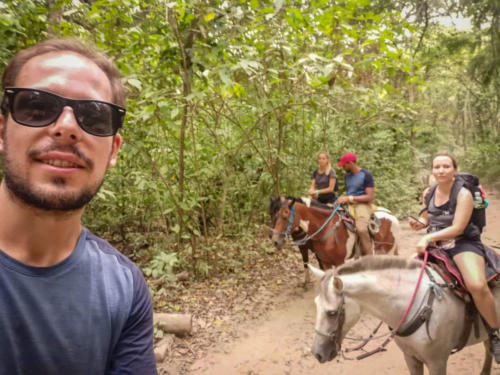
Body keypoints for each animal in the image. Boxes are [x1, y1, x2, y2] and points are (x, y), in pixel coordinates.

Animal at [270, 197, 398, 270]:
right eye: (275, 214)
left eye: (285, 215)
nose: (275, 241)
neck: (327, 229)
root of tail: (392, 216)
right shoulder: (325, 262)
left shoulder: (339, 262)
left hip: (388, 251)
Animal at [308, 258, 496, 374]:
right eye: (315, 304)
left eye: (332, 313)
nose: (317, 354)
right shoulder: (410, 357)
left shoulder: (437, 362)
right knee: (488, 347)